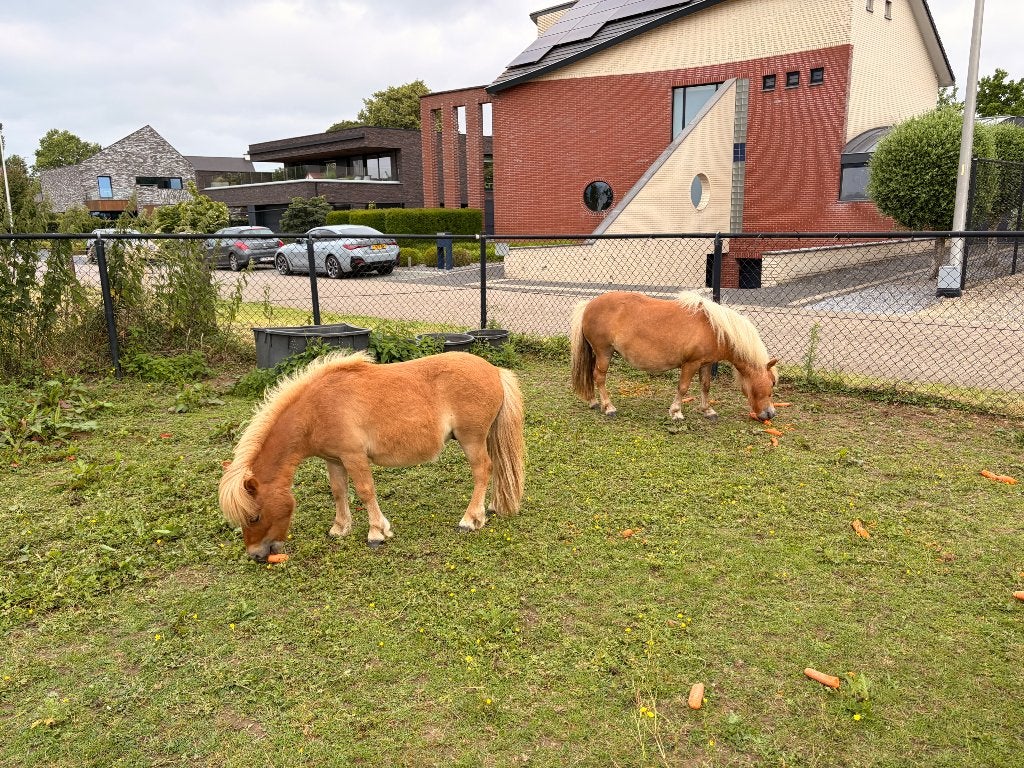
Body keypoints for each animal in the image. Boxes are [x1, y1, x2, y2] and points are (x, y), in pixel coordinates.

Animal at [219, 350, 525, 561]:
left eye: (254, 517)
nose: (256, 555)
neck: (316, 409)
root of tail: (494, 370)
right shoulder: (334, 460)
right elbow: (339, 491)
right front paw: (340, 528)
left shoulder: (354, 457)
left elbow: (366, 492)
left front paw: (376, 533)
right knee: (496, 468)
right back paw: (492, 507)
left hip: (471, 440)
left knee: (482, 471)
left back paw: (470, 520)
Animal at [570, 291, 778, 422]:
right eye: (771, 384)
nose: (770, 414)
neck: (713, 328)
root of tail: (589, 305)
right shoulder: (691, 364)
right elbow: (683, 388)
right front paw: (676, 412)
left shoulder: (706, 364)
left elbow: (705, 386)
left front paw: (708, 410)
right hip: (604, 352)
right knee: (599, 377)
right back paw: (608, 407)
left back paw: (593, 402)